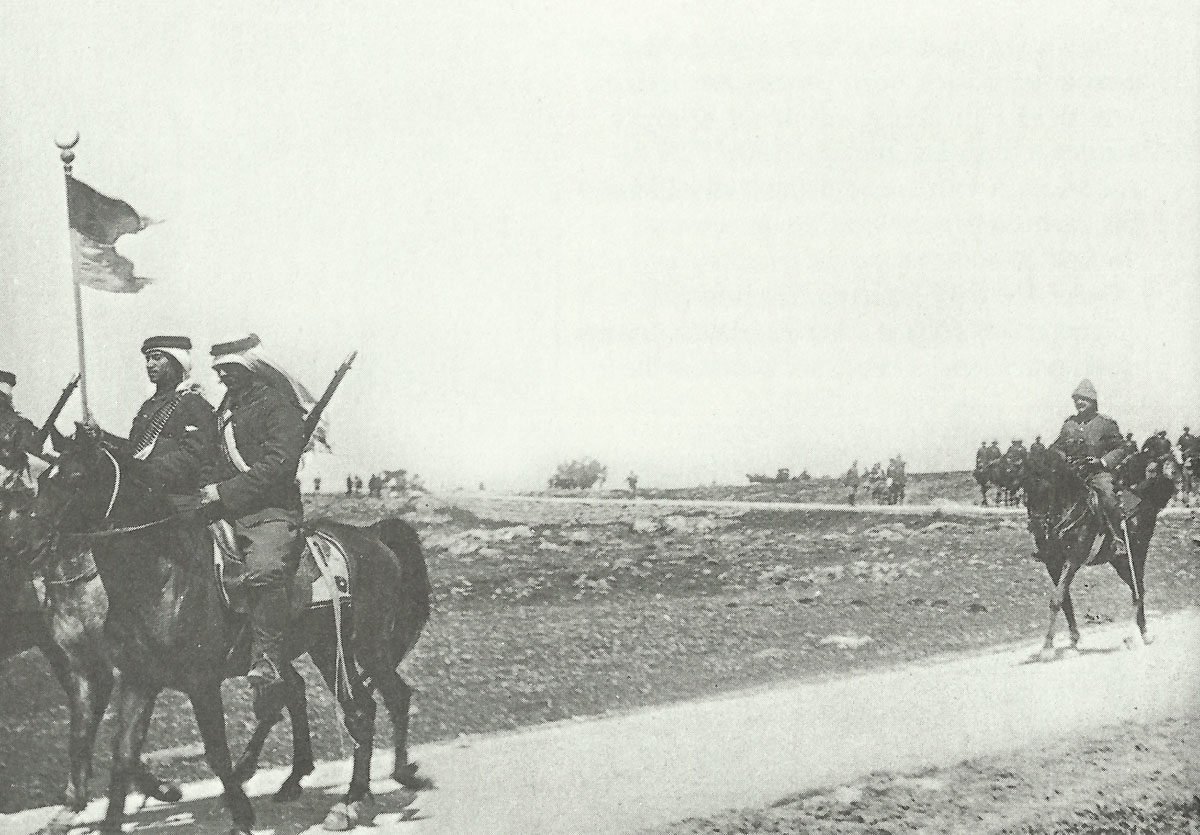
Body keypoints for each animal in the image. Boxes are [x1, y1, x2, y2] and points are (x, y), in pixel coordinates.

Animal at [28, 434, 434, 830]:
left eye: (76, 478)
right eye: (44, 479)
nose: (30, 540)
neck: (163, 575)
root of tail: (372, 536)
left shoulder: (201, 682)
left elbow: (216, 753)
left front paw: (241, 815)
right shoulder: (138, 679)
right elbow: (124, 755)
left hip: (359, 647)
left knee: (372, 706)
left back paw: (356, 798)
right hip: (325, 650)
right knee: (347, 701)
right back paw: (335, 783)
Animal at [1022, 451, 1171, 657]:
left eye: (1047, 489)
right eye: (1026, 490)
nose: (1036, 527)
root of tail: (1144, 498)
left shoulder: (1073, 560)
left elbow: (1056, 599)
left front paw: (1047, 647)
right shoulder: (1053, 563)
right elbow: (1065, 600)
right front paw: (1073, 640)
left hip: (1135, 557)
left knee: (1138, 591)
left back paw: (1134, 637)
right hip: (1120, 562)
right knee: (1137, 590)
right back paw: (1143, 634)